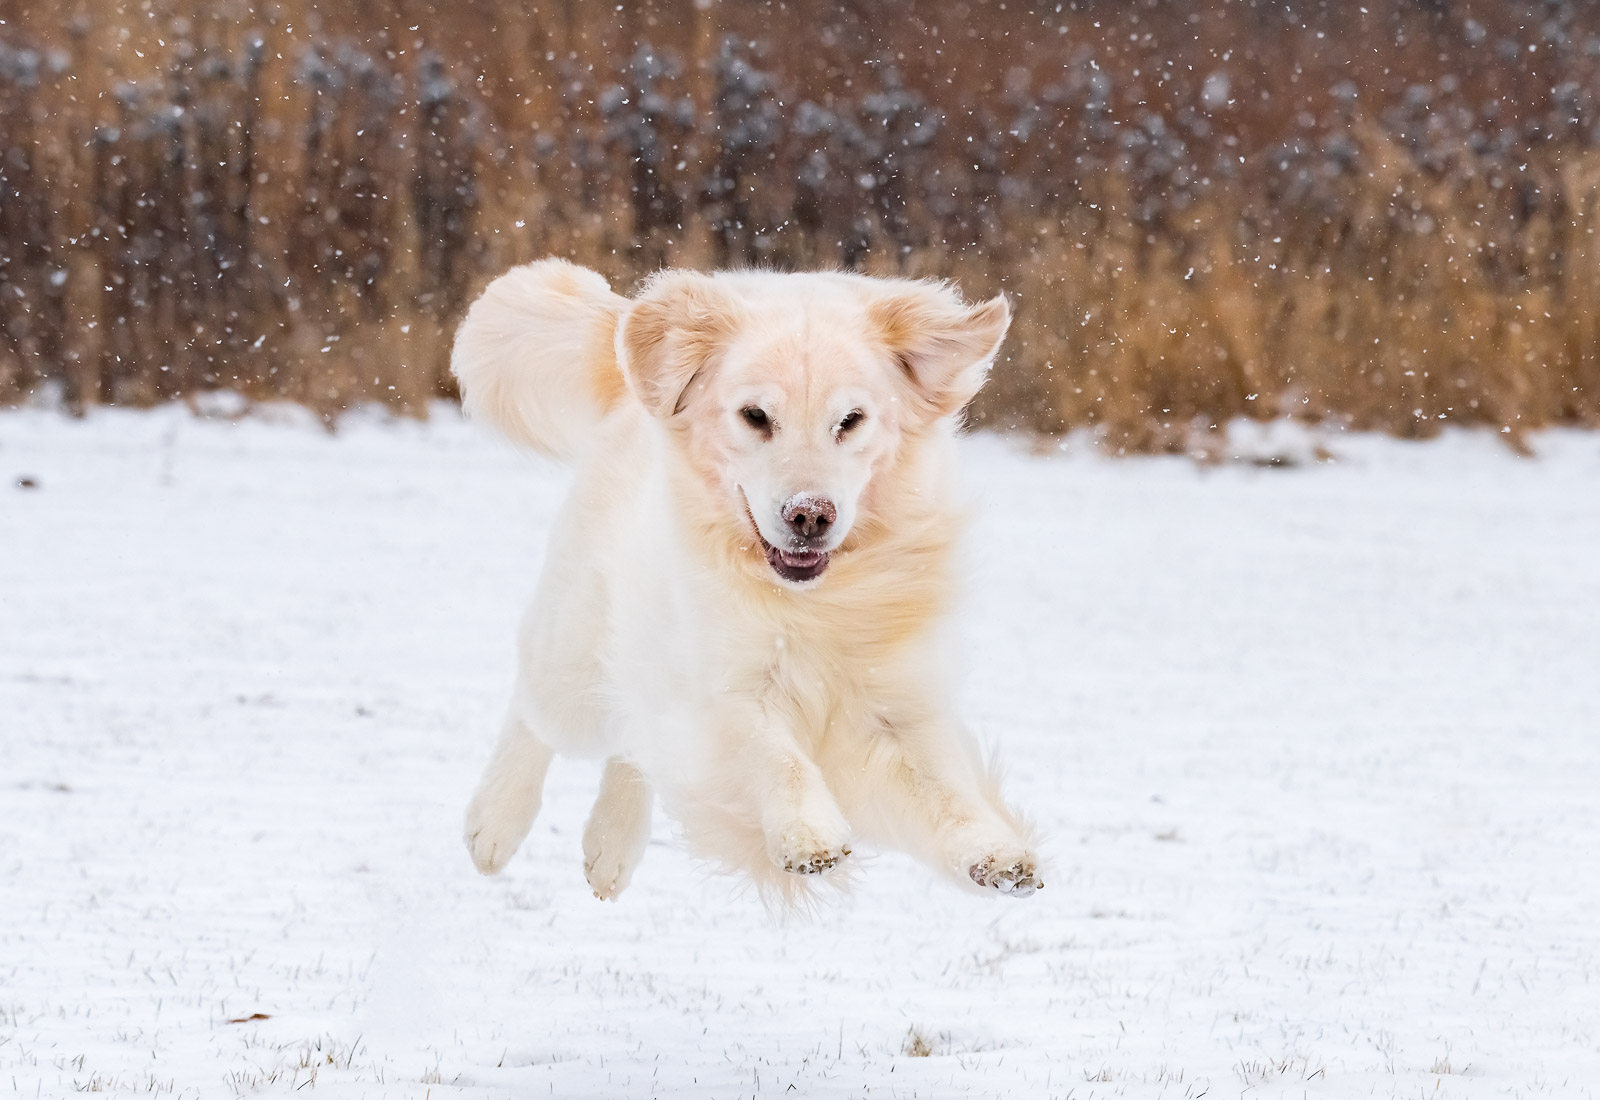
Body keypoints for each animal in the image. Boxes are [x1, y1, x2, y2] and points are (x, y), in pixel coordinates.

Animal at [457, 260, 1043, 901]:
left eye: (851, 420)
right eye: (756, 417)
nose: (810, 515)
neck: (808, 603)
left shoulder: (896, 704)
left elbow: (946, 791)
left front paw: (995, 852)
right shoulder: (721, 693)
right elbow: (774, 756)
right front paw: (809, 837)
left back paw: (610, 850)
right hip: (577, 657)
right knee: (537, 709)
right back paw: (494, 825)